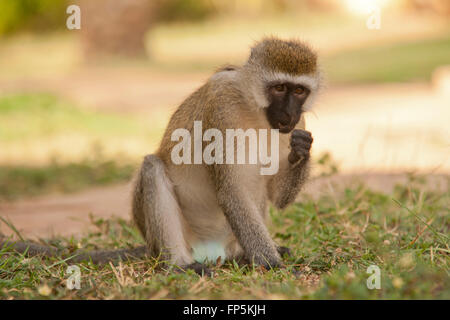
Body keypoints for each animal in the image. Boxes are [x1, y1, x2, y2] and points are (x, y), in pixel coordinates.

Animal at [1, 37, 322, 272]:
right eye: (279, 88)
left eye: (299, 91)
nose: (289, 114)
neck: (256, 111)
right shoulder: (221, 106)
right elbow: (230, 189)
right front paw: (273, 265)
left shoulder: (300, 123)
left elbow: (277, 198)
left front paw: (301, 150)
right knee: (152, 167)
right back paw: (179, 265)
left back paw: (242, 256)